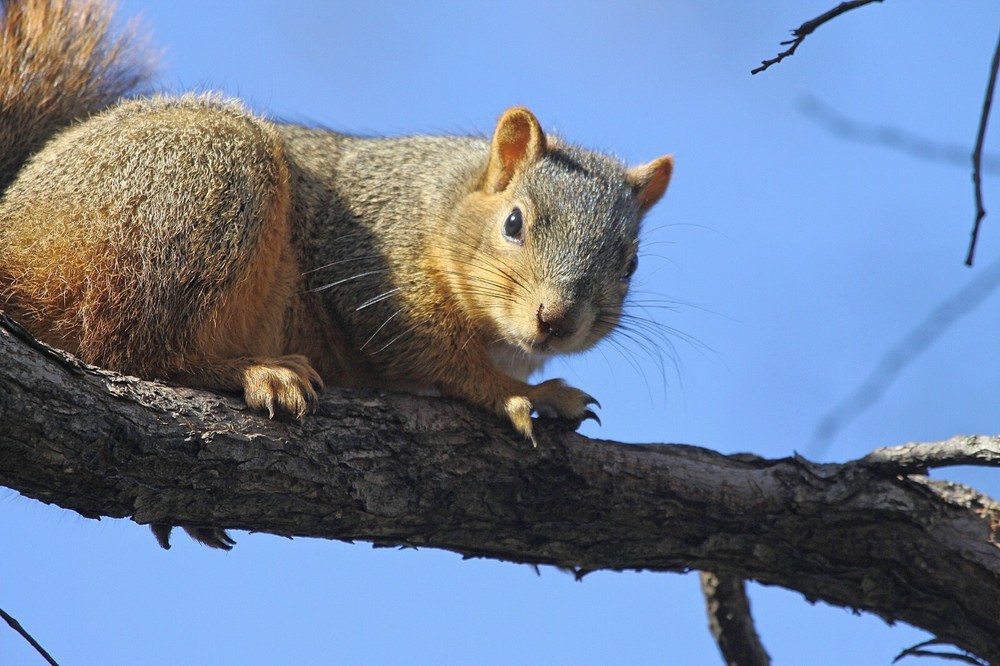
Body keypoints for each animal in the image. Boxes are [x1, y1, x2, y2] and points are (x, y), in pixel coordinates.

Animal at [0, 0, 673, 537]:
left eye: (631, 262)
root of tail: (20, 235)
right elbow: (436, 360)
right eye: (514, 223)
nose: (555, 320)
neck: (439, 208)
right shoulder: (374, 281)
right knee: (138, 349)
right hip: (204, 183)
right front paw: (526, 395)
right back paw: (255, 371)